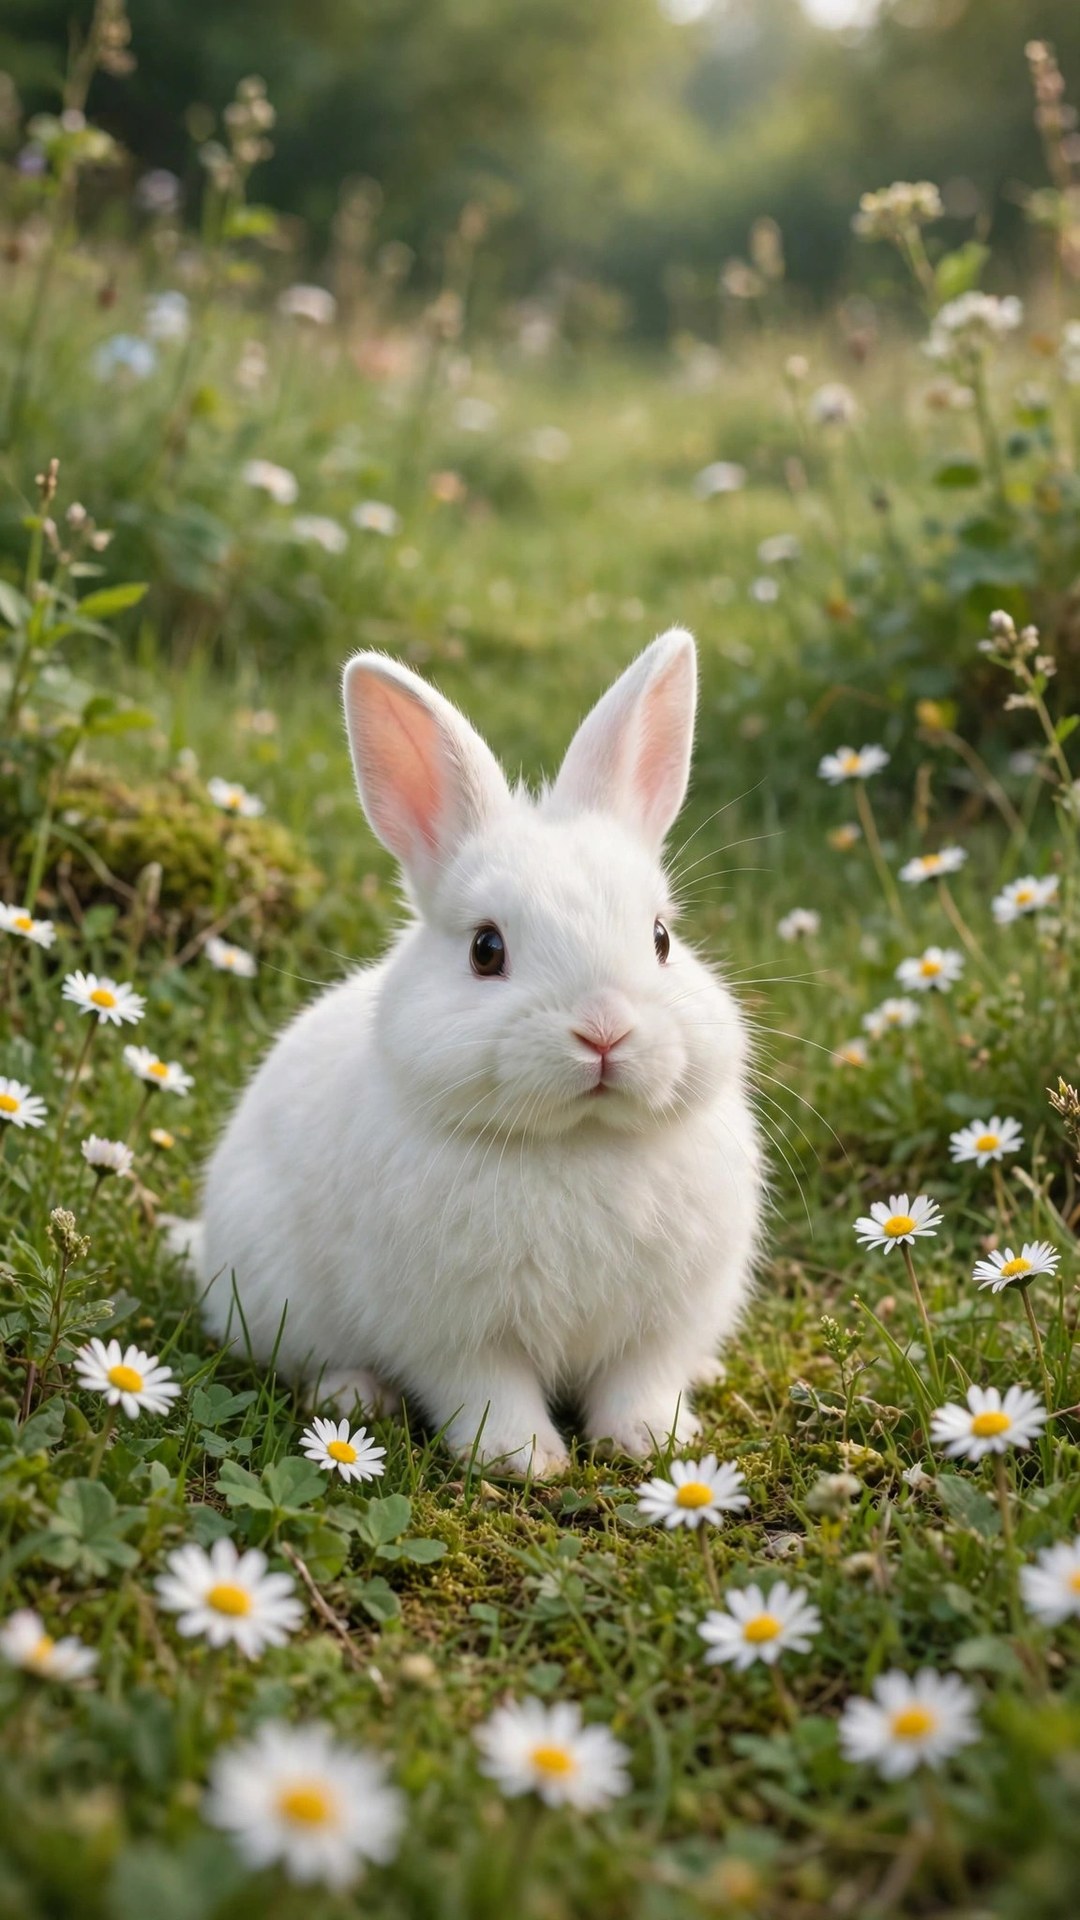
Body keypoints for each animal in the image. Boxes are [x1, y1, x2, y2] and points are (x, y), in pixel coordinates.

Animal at [198, 628, 762, 1476]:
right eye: (486, 950)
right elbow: (487, 1390)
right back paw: (353, 1396)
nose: (604, 1030)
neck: (578, 1142)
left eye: (662, 938)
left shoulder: (662, 1322)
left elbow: (641, 1379)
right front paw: (522, 1458)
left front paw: (648, 1441)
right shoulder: (453, 1333)